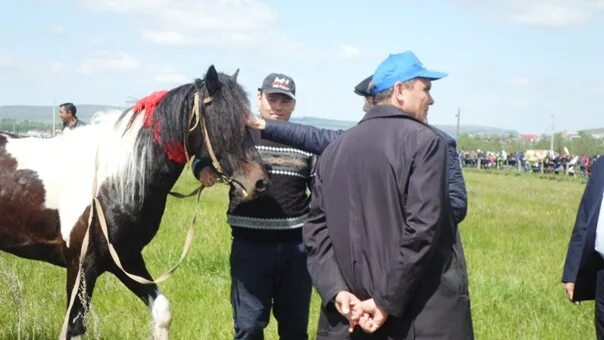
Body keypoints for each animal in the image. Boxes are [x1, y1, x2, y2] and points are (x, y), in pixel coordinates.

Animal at [0, 65, 268, 338]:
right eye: (222, 122)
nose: (259, 182)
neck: (111, 183)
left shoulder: (126, 259)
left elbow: (163, 312)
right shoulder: (81, 266)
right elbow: (74, 327)